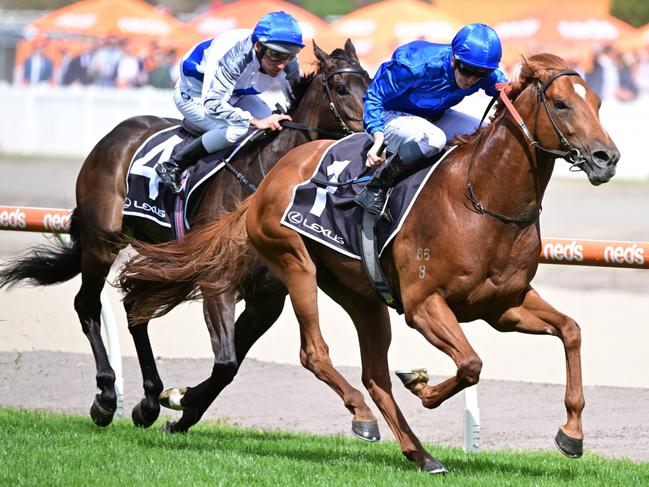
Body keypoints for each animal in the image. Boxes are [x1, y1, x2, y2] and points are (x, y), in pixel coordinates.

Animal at [0, 43, 378, 434]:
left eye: (370, 82)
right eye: (342, 88)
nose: (373, 137)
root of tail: (116, 134)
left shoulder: (266, 300)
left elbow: (229, 365)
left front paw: (182, 407)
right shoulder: (217, 282)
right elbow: (226, 362)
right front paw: (180, 402)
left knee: (135, 309)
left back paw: (149, 400)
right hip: (100, 242)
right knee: (87, 305)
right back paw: (106, 397)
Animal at [119, 53, 620, 472]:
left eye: (596, 102)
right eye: (560, 104)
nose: (607, 157)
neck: (480, 197)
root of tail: (268, 182)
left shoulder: (503, 306)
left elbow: (571, 331)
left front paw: (571, 434)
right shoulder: (423, 306)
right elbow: (471, 364)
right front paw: (423, 387)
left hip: (363, 297)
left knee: (376, 375)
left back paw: (420, 454)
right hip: (294, 262)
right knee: (315, 352)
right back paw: (361, 416)